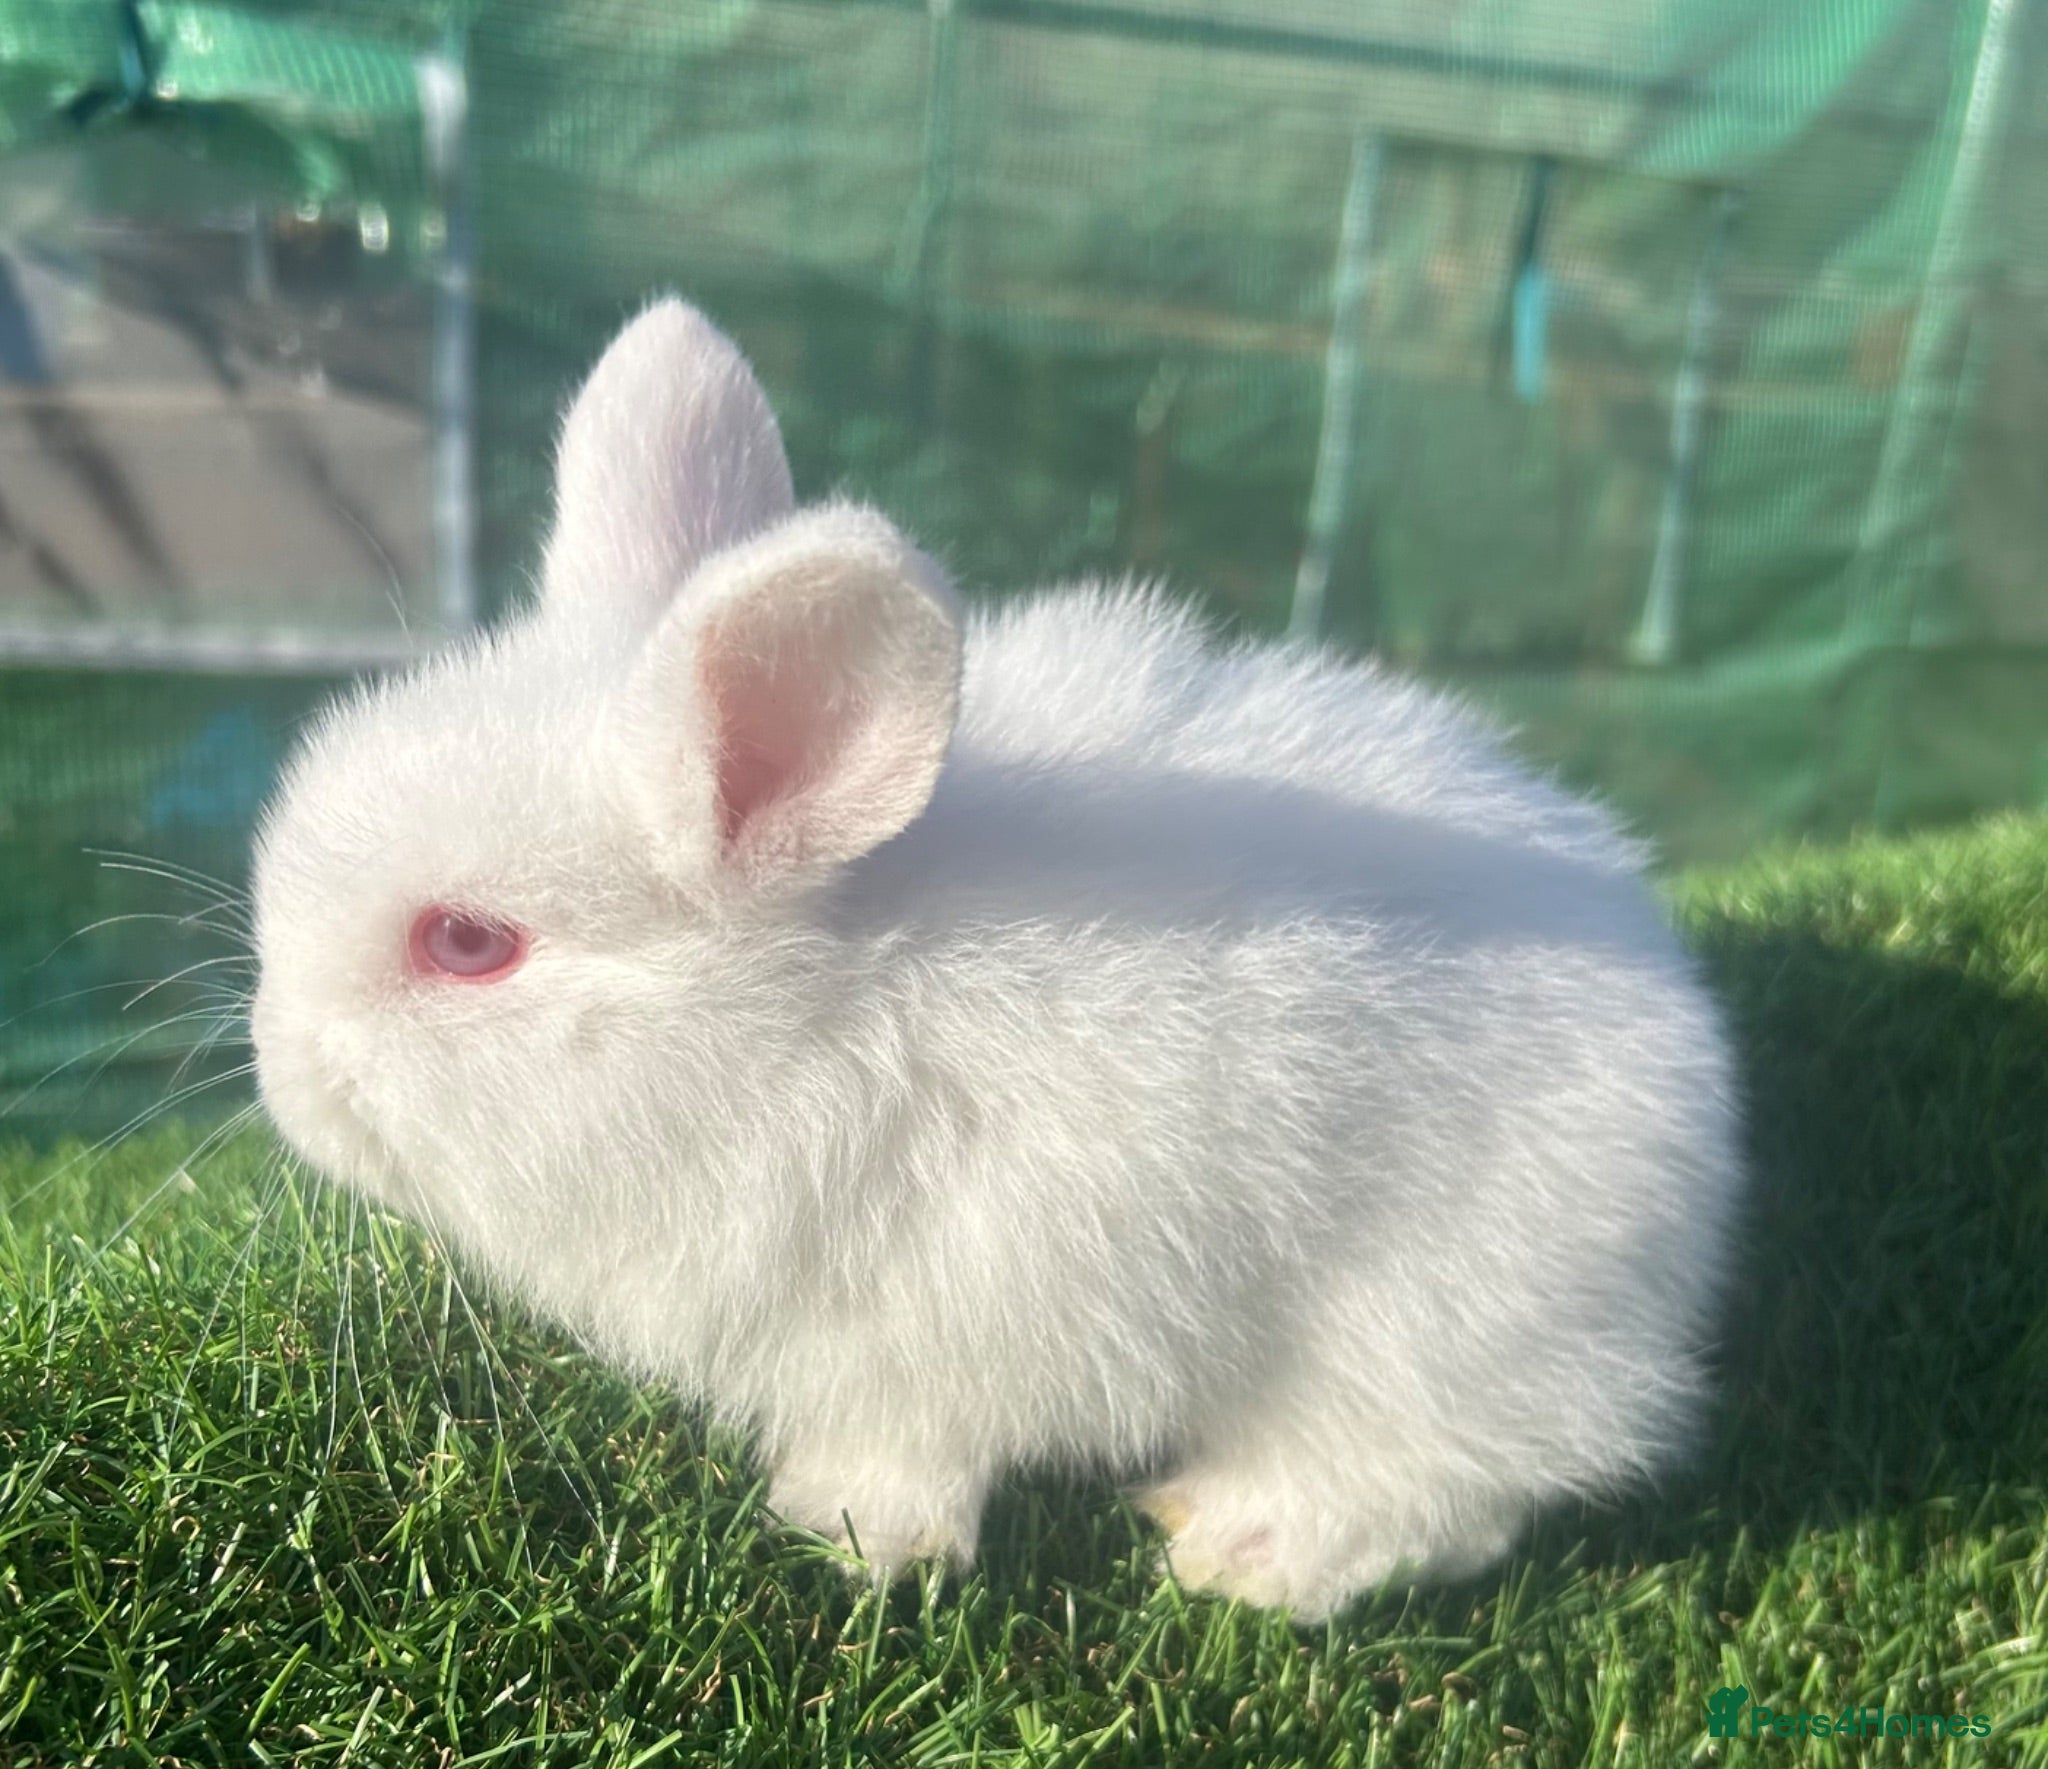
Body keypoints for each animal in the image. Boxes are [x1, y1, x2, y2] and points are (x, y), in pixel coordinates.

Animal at [250, 297, 1743, 1621]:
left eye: (467, 942)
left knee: (1465, 1482)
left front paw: (846, 1534)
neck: (816, 1024)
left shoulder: (935, 1344)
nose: (279, 1071)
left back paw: (1246, 1546)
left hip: (1444, 1325)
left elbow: (910, 1458)